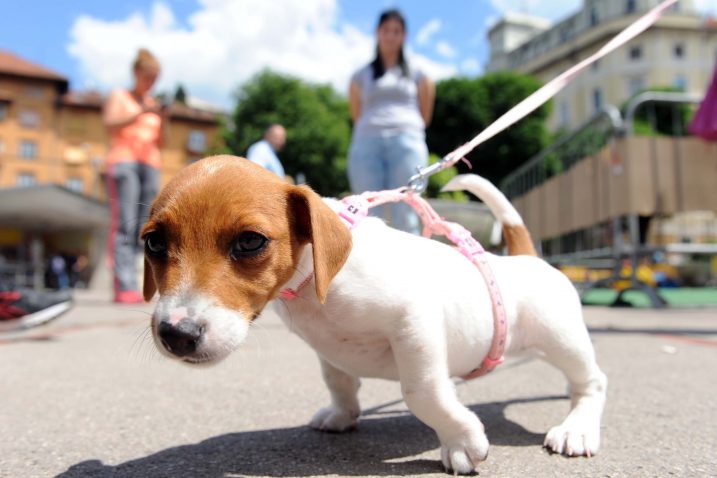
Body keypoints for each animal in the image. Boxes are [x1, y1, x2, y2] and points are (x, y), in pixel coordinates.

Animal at [143, 155, 608, 472]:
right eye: (153, 243)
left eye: (250, 241)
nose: (176, 334)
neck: (315, 282)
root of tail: (526, 257)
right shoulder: (328, 349)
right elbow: (339, 381)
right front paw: (343, 414)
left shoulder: (414, 324)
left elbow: (422, 392)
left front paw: (460, 438)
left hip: (561, 339)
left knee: (592, 382)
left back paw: (577, 427)